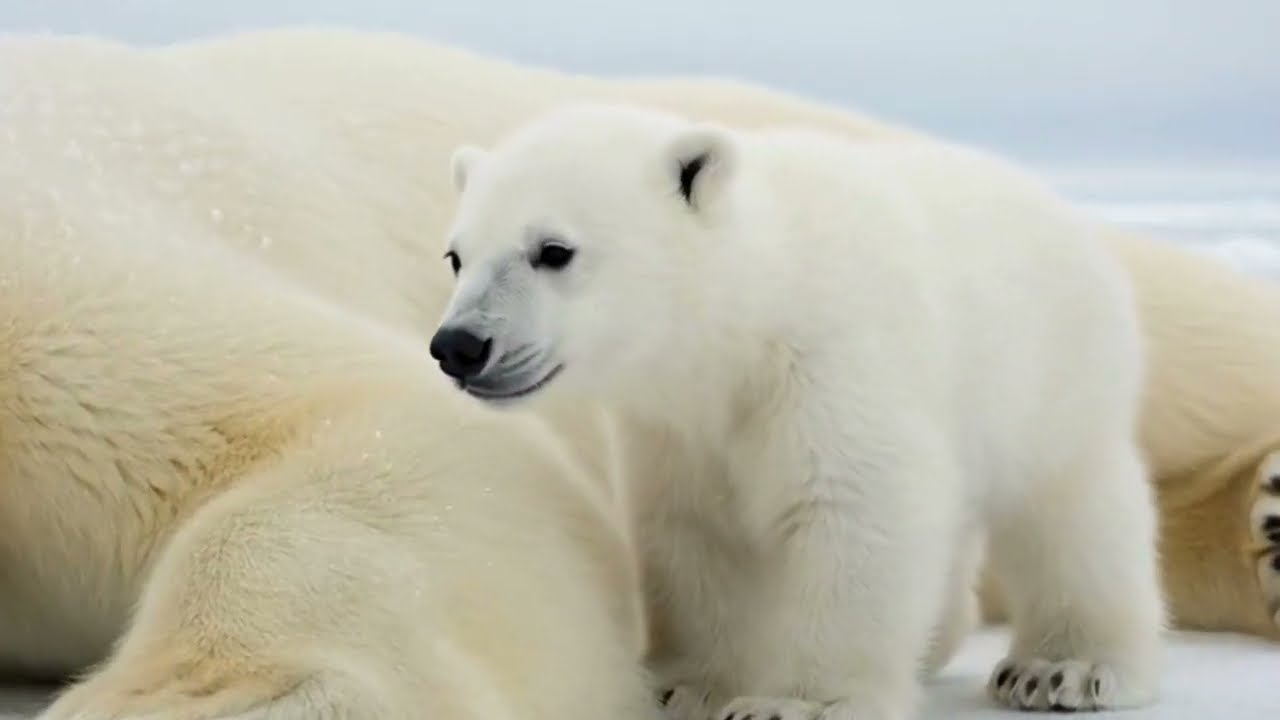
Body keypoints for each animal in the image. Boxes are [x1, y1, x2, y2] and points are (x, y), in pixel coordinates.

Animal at [432, 101, 1168, 718]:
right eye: (457, 255)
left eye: (553, 250)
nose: (459, 345)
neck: (754, 312)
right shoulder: (679, 429)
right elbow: (692, 534)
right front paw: (684, 685)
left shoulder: (831, 369)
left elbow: (855, 512)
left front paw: (796, 703)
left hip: (1052, 374)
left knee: (1072, 515)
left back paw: (1064, 667)